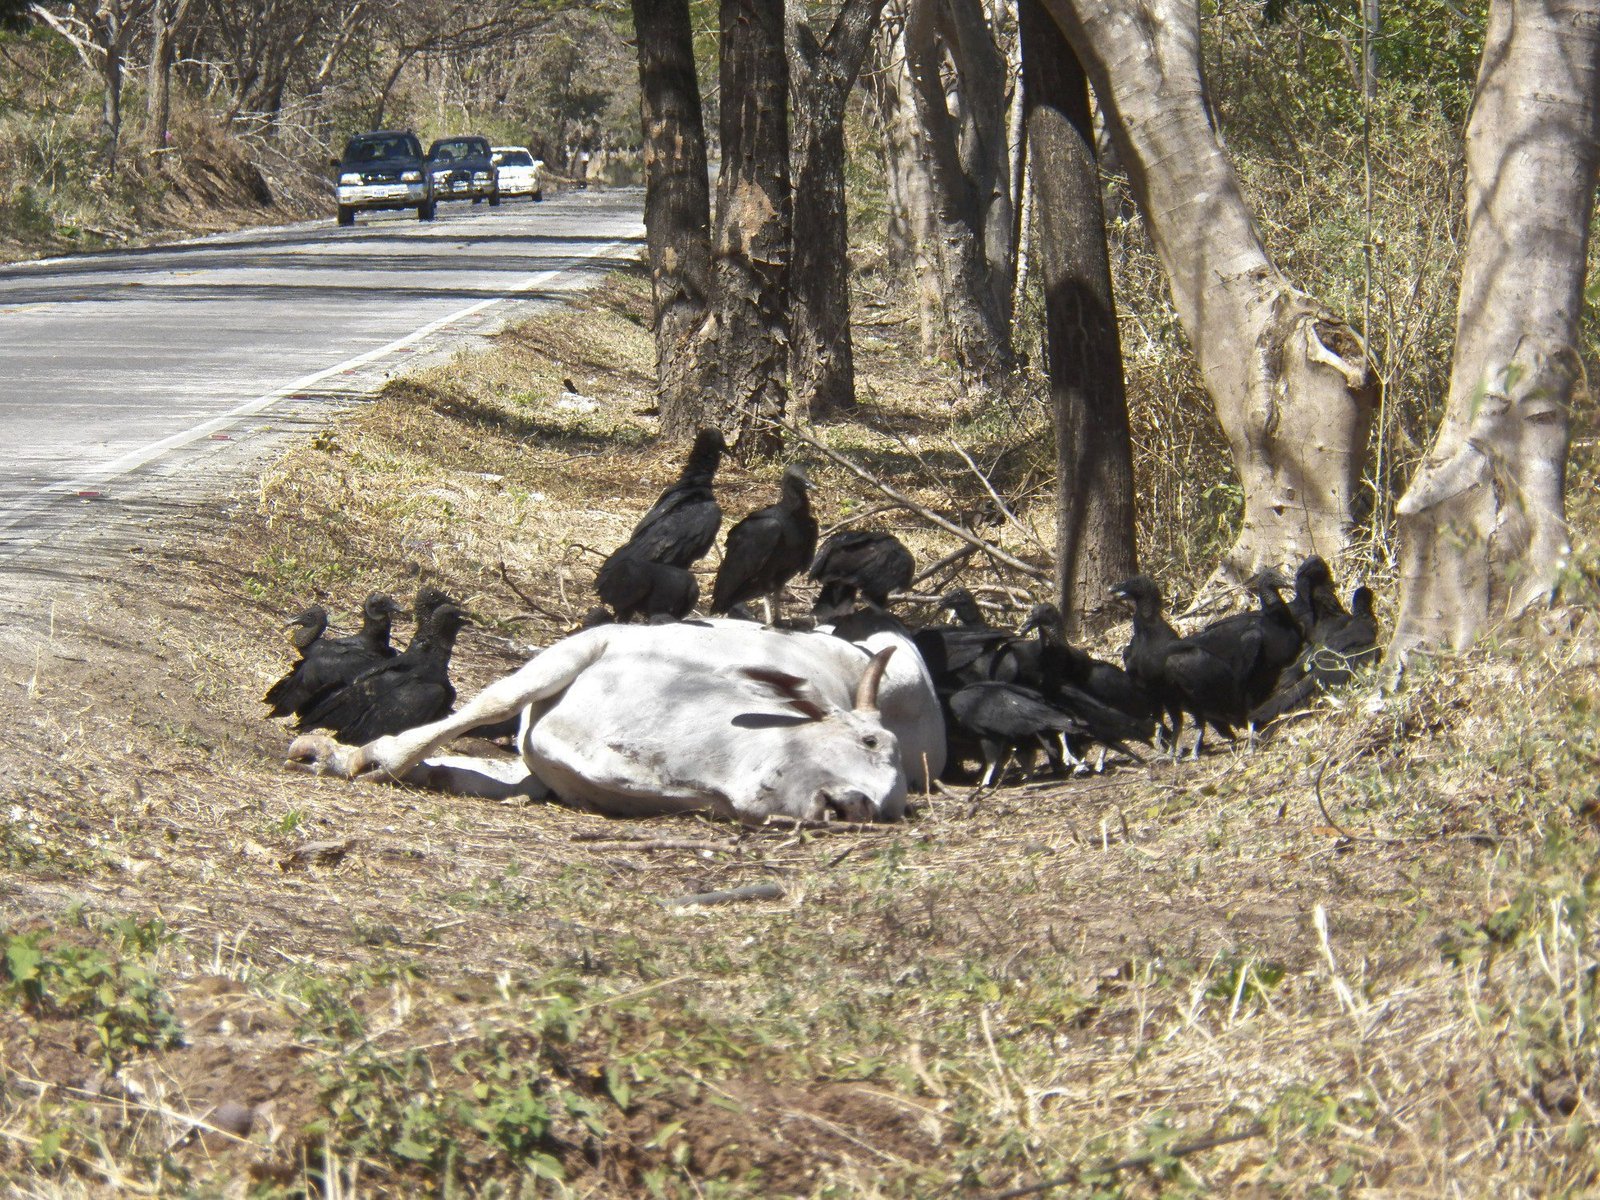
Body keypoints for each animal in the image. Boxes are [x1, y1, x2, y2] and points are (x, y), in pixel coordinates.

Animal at [287, 617, 946, 823]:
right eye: (866, 740)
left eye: (894, 806)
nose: (857, 807)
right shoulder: (596, 641)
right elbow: (488, 704)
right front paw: (354, 755)